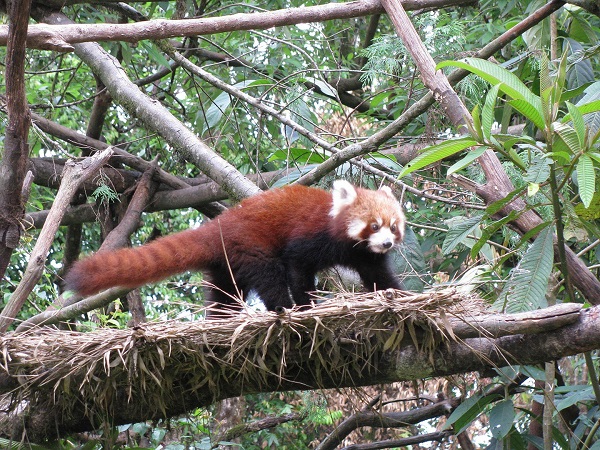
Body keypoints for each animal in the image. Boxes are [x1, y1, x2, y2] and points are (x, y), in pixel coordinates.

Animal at [63, 181, 406, 312]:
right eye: (374, 225)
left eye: (393, 226)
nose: (388, 242)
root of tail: (220, 225)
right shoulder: (311, 237)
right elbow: (297, 268)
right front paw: (304, 304)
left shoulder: (365, 255)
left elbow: (379, 276)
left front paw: (399, 295)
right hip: (251, 245)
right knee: (268, 275)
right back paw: (282, 307)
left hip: (228, 264)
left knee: (224, 294)